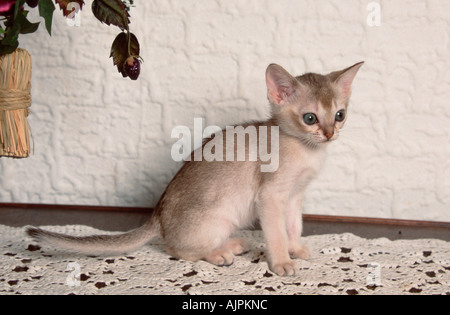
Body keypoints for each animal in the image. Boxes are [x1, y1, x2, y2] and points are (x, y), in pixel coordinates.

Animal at [26, 61, 362, 276]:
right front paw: (281, 262)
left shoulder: (293, 197)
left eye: (340, 115)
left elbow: (293, 226)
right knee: (177, 249)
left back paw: (233, 244)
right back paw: (219, 253)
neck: (305, 150)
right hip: (216, 219)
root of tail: (157, 216)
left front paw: (295, 248)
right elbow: (276, 233)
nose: (329, 133)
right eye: (310, 118)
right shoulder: (270, 197)